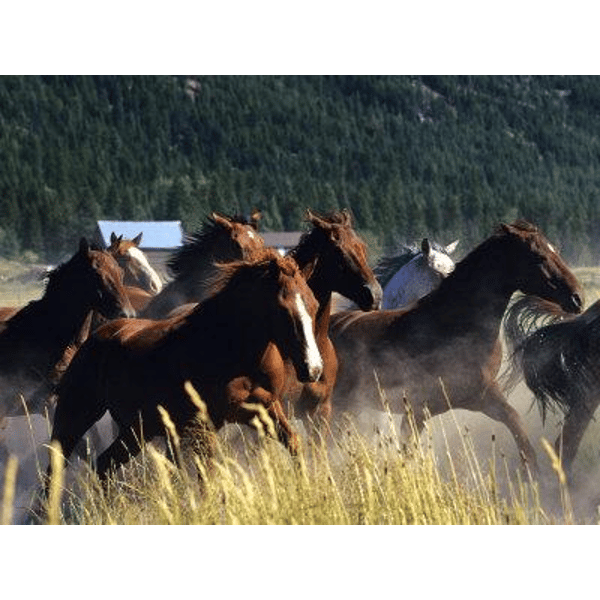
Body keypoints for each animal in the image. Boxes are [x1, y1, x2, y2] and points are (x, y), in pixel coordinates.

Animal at [45, 247, 323, 485]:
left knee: (105, 464)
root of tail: (95, 338)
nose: (313, 369)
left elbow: (294, 443)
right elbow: (208, 478)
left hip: (138, 428)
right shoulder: (203, 426)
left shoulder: (265, 409)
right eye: (282, 308)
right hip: (75, 415)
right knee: (56, 468)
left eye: (314, 305)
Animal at [329, 220, 583, 472]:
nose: (577, 298)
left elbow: (517, 427)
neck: (455, 323)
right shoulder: (424, 406)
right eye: (539, 256)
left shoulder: (478, 397)